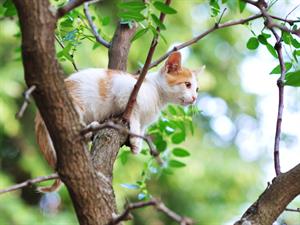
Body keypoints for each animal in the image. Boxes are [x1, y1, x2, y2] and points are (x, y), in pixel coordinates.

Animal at [34, 51, 200, 192]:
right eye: (187, 85)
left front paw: (137, 141)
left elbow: (141, 128)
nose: (194, 98)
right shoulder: (125, 90)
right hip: (74, 105)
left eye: (197, 89)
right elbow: (134, 116)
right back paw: (90, 128)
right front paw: (134, 139)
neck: (158, 95)